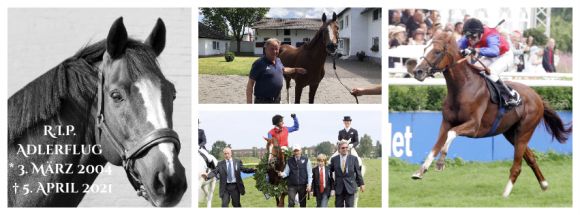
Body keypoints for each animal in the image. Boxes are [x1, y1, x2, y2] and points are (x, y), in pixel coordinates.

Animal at [408, 31, 572, 198]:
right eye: (425, 49)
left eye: (437, 51)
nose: (417, 71)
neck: (463, 88)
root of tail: (538, 97)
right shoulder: (446, 123)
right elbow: (435, 146)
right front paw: (420, 171)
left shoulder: (474, 126)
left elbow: (451, 134)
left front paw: (441, 163)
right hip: (512, 133)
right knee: (531, 158)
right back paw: (544, 184)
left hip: (524, 131)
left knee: (517, 165)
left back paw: (505, 194)